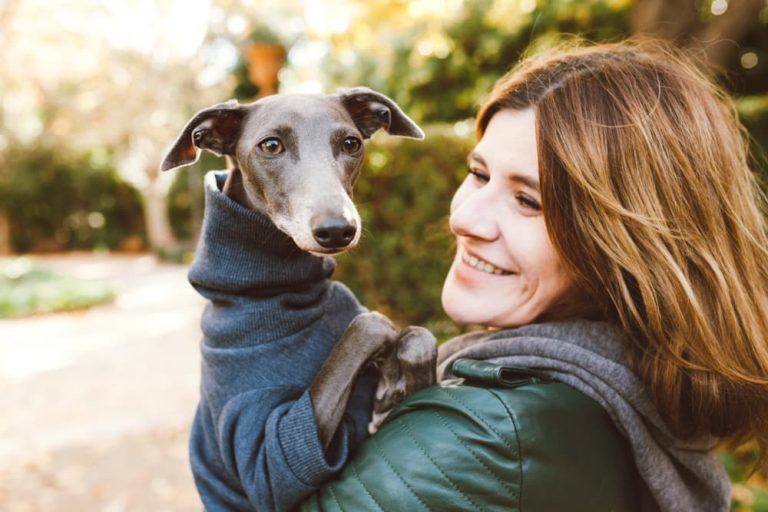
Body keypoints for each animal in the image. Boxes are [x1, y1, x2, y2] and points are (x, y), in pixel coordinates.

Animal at [160, 88, 438, 448]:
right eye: (271, 145)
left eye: (351, 143)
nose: (337, 230)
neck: (283, 285)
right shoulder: (270, 444)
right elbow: (369, 323)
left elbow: (421, 335)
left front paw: (398, 385)